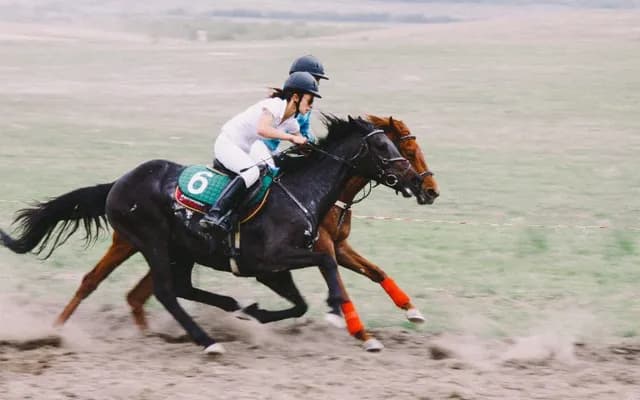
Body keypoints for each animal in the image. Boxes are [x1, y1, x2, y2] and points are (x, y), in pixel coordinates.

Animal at [0, 116, 425, 354]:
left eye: (398, 145)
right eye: (384, 145)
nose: (423, 186)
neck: (305, 193)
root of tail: (119, 181)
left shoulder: (275, 269)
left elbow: (305, 298)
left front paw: (255, 312)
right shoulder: (269, 261)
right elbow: (327, 267)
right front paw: (350, 322)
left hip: (162, 247)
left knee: (128, 285)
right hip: (152, 241)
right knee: (165, 292)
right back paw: (207, 340)